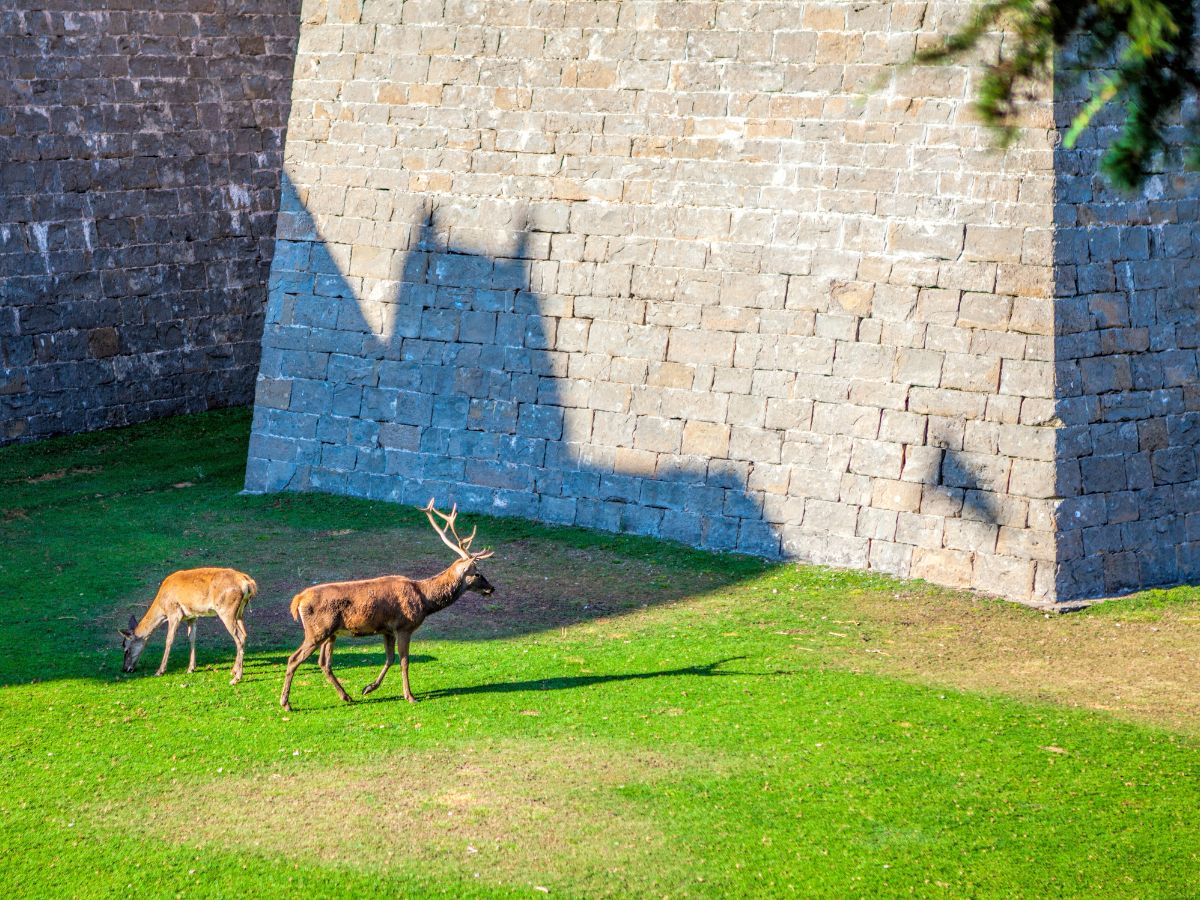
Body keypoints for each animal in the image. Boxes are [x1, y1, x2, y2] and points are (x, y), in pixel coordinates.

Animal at [118, 566, 255, 686]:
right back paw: (234, 670)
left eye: (126, 649)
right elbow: (192, 638)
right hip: (240, 612)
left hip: (226, 610)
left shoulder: (174, 612)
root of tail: (248, 583)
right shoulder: (192, 616)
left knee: (239, 637)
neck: (162, 605)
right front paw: (191, 668)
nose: (125, 669)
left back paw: (236, 678)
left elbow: (169, 640)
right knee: (245, 634)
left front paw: (160, 671)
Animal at [278, 501, 494, 710]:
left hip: (331, 633)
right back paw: (286, 703)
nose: (491, 588)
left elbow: (389, 659)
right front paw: (410, 696)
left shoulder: (387, 630)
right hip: (317, 630)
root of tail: (298, 599)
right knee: (293, 659)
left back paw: (346, 696)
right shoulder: (404, 627)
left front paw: (368, 688)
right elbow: (404, 661)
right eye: (477, 573)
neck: (425, 600)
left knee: (324, 663)